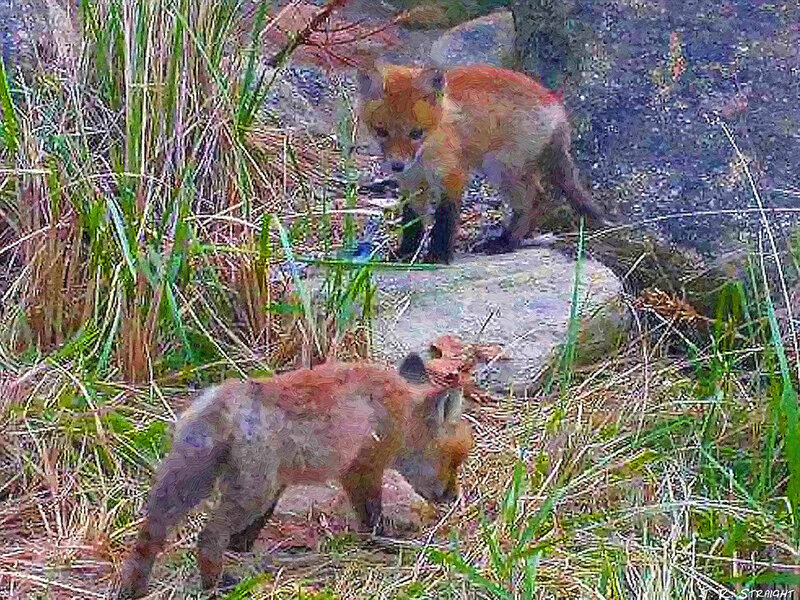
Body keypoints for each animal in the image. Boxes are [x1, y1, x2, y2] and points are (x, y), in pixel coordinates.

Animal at [116, 354, 473, 599]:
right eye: (454, 461)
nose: (453, 497)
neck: (399, 407)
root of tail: (225, 400)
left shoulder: (281, 480)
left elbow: (257, 524)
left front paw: (243, 547)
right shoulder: (362, 468)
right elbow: (371, 517)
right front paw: (384, 545)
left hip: (188, 481)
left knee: (150, 535)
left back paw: (134, 589)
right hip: (250, 490)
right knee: (207, 538)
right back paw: (216, 586)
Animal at [356, 62, 609, 264]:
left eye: (416, 133)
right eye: (381, 132)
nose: (397, 165)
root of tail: (556, 106)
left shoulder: (452, 176)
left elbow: (444, 220)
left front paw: (439, 256)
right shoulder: (411, 183)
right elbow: (412, 222)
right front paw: (406, 254)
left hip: (501, 168)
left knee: (534, 199)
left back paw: (506, 242)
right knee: (538, 199)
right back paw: (516, 238)